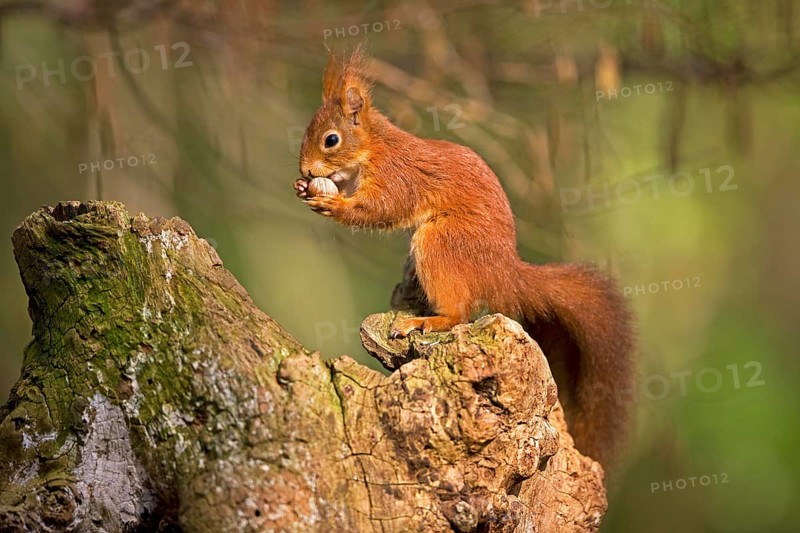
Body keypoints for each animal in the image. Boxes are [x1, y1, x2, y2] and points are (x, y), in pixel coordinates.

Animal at [293, 47, 635, 470]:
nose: (305, 169)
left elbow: (381, 210)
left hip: (440, 243)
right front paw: (308, 187)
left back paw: (425, 321)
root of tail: (504, 273)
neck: (375, 146)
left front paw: (331, 202)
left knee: (460, 313)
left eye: (331, 139)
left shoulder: (396, 177)